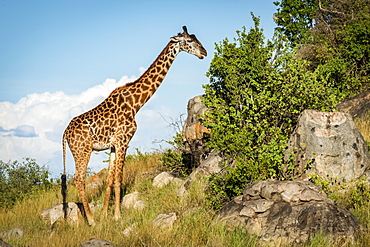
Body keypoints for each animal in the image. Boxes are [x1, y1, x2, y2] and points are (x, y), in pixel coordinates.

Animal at [61, 26, 207, 225]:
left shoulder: (114, 145)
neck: (136, 104)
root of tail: (65, 133)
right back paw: (91, 220)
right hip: (82, 150)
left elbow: (109, 179)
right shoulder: (124, 141)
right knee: (78, 179)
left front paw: (106, 215)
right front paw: (117, 216)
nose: (204, 52)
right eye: (190, 41)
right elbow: (119, 178)